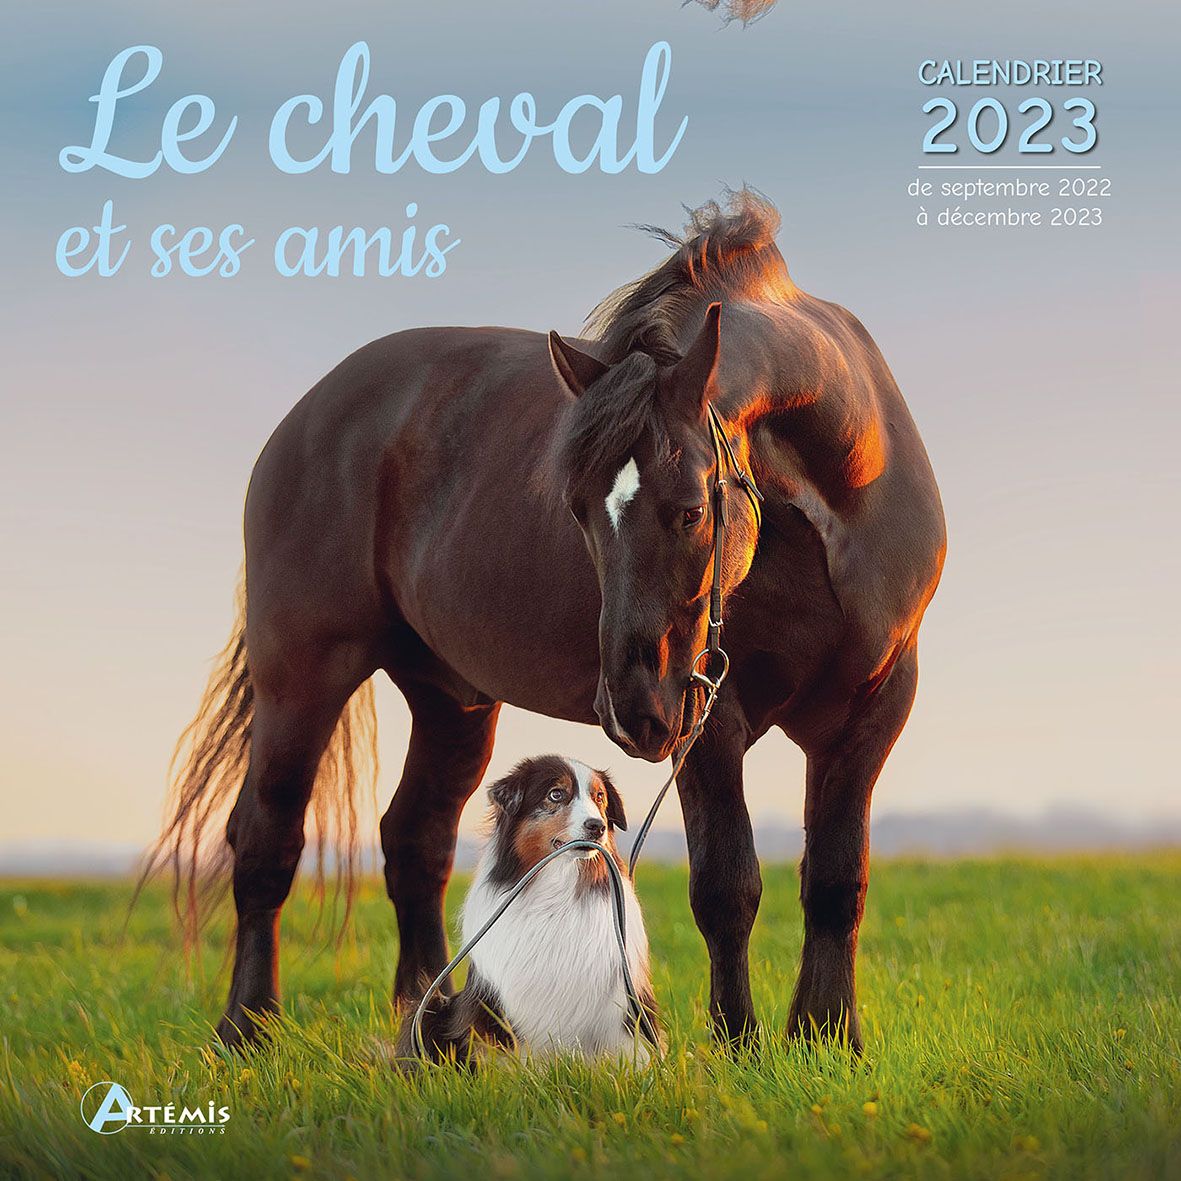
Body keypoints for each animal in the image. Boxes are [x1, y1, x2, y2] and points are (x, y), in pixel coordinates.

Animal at [153, 190, 944, 1054]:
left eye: (692, 510)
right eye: (577, 512)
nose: (632, 709)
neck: (839, 498)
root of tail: (309, 415)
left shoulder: (874, 705)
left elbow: (836, 878)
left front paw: (827, 1037)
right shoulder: (710, 714)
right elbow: (726, 884)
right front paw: (739, 1042)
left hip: (452, 697)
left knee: (415, 839)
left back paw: (427, 1017)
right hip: (302, 671)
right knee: (267, 838)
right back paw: (246, 1026)